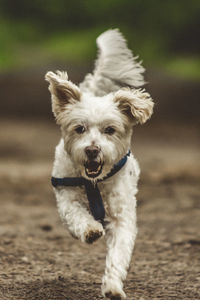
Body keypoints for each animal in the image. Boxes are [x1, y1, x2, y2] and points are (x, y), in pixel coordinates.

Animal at [45, 28, 153, 300]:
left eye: (110, 130)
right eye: (79, 129)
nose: (92, 150)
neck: (94, 183)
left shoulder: (122, 218)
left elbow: (118, 254)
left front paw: (113, 287)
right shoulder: (67, 197)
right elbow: (76, 215)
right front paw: (91, 230)